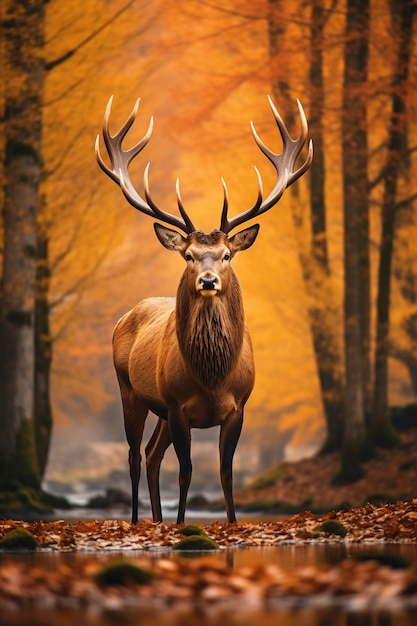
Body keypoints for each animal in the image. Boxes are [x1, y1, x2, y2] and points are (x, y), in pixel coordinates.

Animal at [95, 95, 312, 524]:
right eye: (189, 256)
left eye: (227, 254)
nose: (208, 281)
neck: (212, 377)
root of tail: (123, 318)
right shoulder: (178, 406)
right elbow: (187, 471)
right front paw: (182, 525)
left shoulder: (238, 407)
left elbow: (226, 473)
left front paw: (229, 521)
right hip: (131, 390)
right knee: (134, 455)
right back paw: (138, 520)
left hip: (160, 410)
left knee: (151, 455)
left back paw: (157, 519)